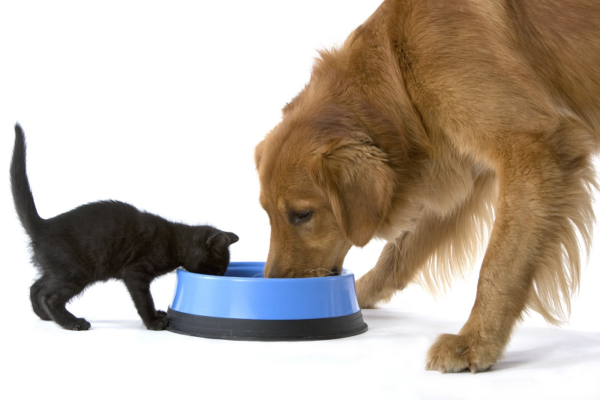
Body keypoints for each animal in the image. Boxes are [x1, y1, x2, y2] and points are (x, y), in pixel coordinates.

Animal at [10, 125, 238, 332]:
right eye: (217, 269)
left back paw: (45, 316)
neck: (176, 239)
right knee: (50, 296)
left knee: (36, 287)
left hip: (57, 269)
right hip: (77, 270)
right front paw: (154, 322)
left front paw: (157, 316)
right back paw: (72, 322)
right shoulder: (135, 272)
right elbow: (144, 300)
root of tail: (44, 226)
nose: (220, 277)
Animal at [254, 0, 600, 376]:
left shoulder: (535, 151)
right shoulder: (462, 173)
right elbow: (400, 252)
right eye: (267, 213)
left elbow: (500, 264)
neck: (400, 63)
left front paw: (475, 342)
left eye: (302, 214)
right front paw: (361, 293)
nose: (273, 287)